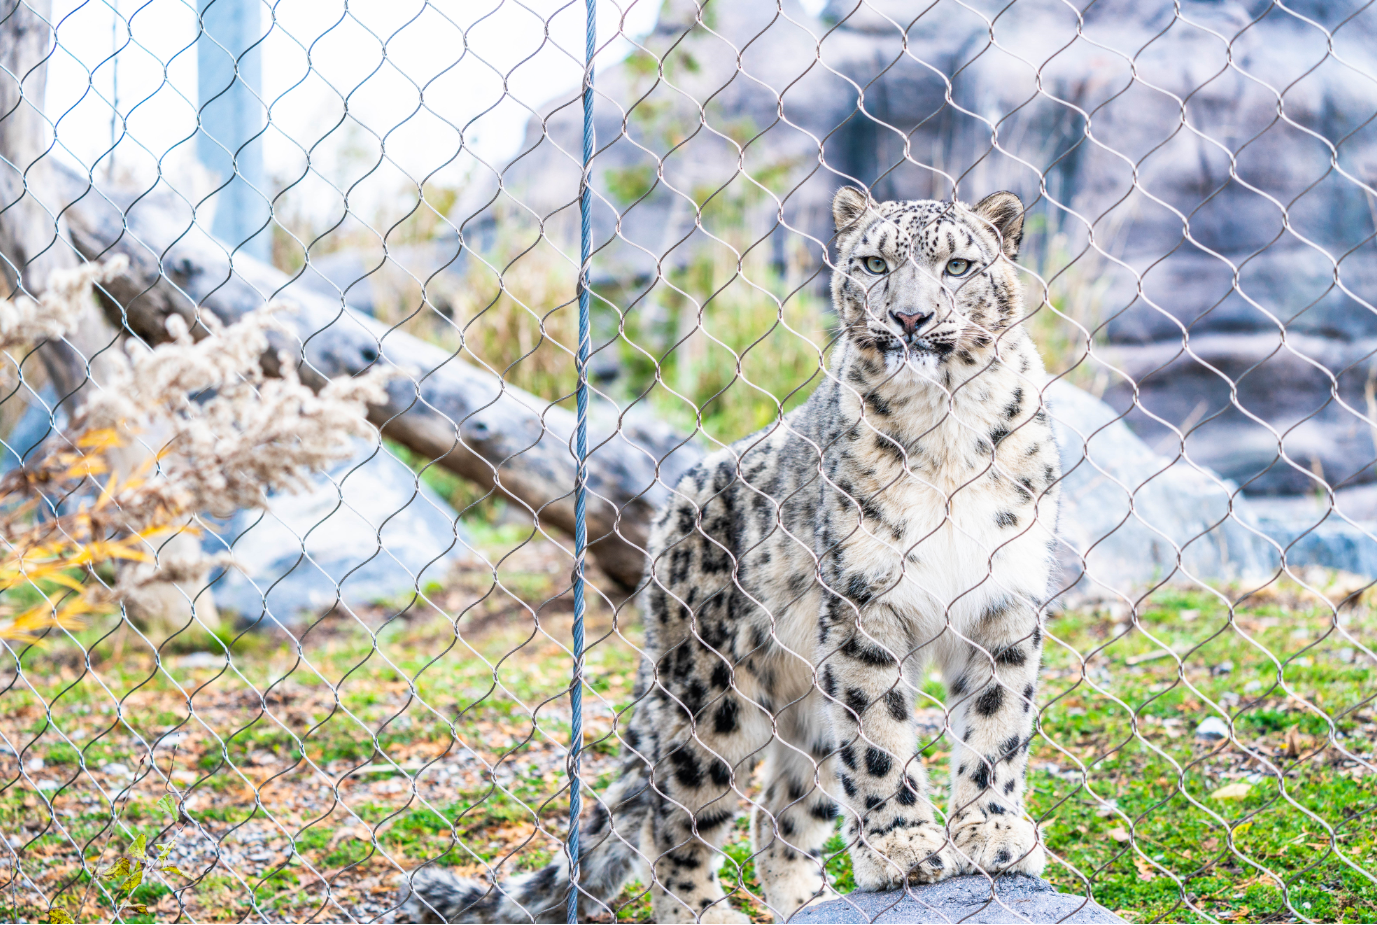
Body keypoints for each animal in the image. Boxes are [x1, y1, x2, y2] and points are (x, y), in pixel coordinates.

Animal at [398, 188, 1062, 924]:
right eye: (872, 263)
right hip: (712, 693)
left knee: (779, 814)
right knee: (675, 819)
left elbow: (996, 724)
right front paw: (904, 849)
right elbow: (879, 739)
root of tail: (667, 518)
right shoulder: (863, 603)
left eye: (957, 265)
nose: (909, 315)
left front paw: (994, 835)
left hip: (807, 702)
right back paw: (706, 910)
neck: (945, 426)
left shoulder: (1003, 599)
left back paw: (808, 901)